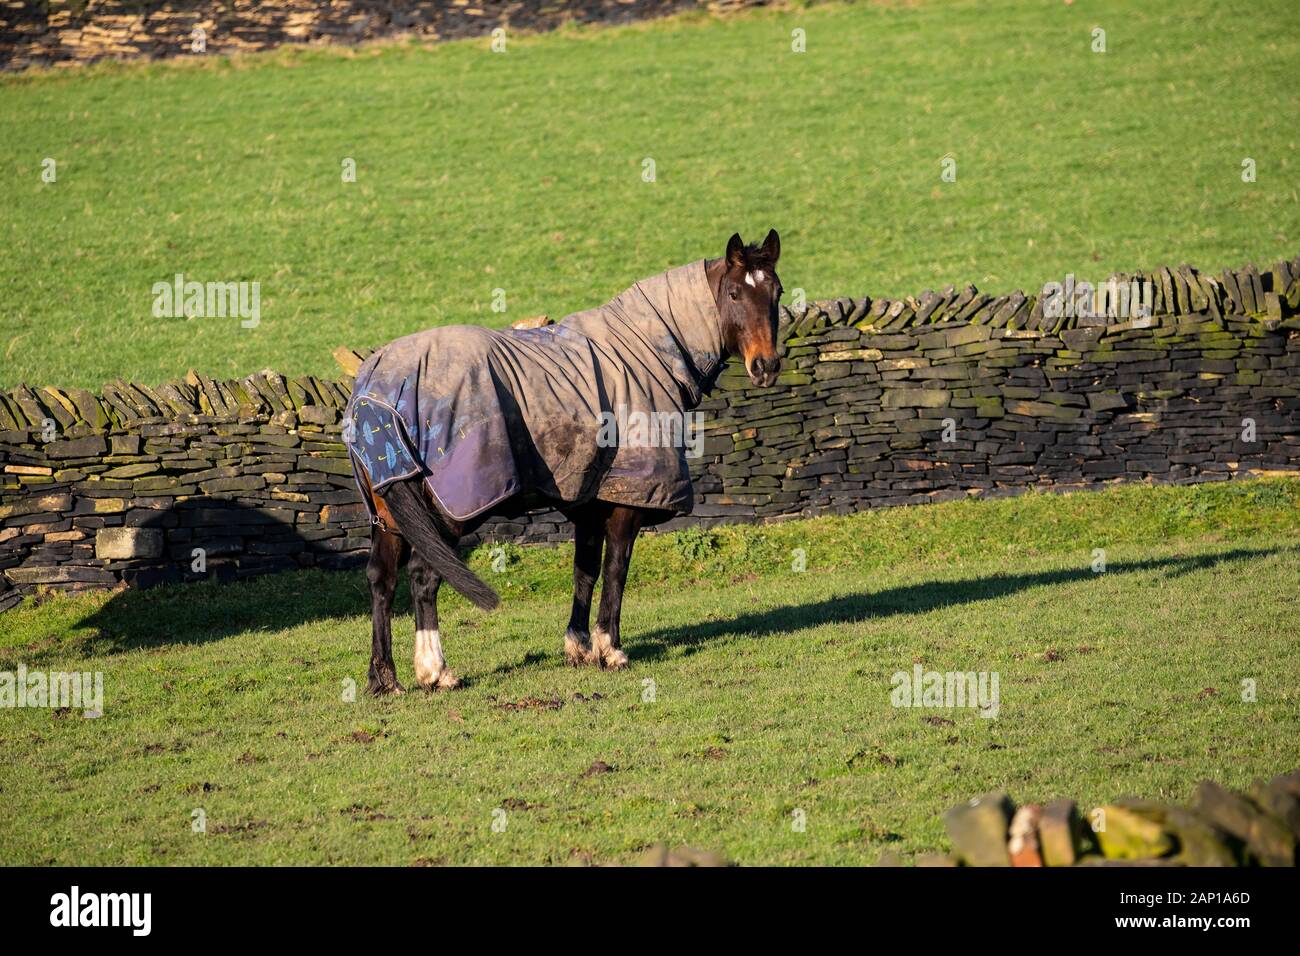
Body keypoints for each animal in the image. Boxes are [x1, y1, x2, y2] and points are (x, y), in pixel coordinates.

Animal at [345, 230, 783, 694]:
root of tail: (374, 391)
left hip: (389, 515)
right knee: (423, 578)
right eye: (734, 293)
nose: (766, 366)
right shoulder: (629, 499)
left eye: (776, 292)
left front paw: (579, 647)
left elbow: (584, 571)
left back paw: (384, 678)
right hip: (448, 512)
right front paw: (611, 649)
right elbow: (616, 570)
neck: (646, 349)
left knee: (381, 580)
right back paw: (436, 670)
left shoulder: (590, 498)